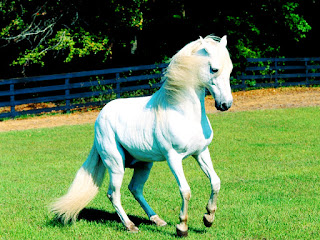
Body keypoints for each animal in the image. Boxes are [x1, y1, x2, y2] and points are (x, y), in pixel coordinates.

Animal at [51, 34, 234, 237]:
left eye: (230, 69)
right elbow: (185, 190)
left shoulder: (201, 152)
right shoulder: (173, 158)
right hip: (116, 164)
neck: (182, 112)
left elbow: (215, 182)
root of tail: (101, 116)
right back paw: (130, 226)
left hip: (144, 164)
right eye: (214, 69)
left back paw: (157, 220)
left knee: (135, 189)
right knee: (113, 193)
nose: (225, 105)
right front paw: (182, 227)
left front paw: (208, 218)